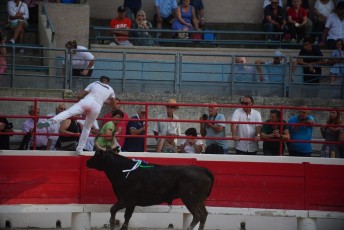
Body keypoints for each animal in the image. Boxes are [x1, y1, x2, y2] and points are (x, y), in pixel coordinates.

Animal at [86, 150, 215, 229]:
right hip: (199, 200)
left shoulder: (126, 199)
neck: (123, 170)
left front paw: (112, 224)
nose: (87, 162)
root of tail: (202, 169)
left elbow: (113, 209)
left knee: (197, 216)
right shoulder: (131, 203)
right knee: (204, 215)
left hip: (190, 198)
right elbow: (127, 217)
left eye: (96, 156)